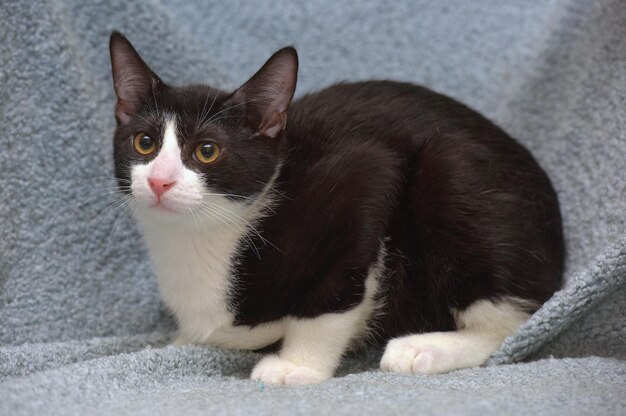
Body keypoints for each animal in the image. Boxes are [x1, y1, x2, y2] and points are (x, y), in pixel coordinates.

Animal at [109, 30, 564, 386]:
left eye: (207, 151)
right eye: (145, 143)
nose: (160, 180)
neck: (200, 238)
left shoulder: (364, 176)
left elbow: (332, 297)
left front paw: (298, 365)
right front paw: (179, 342)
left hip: (453, 176)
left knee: (514, 323)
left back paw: (426, 348)